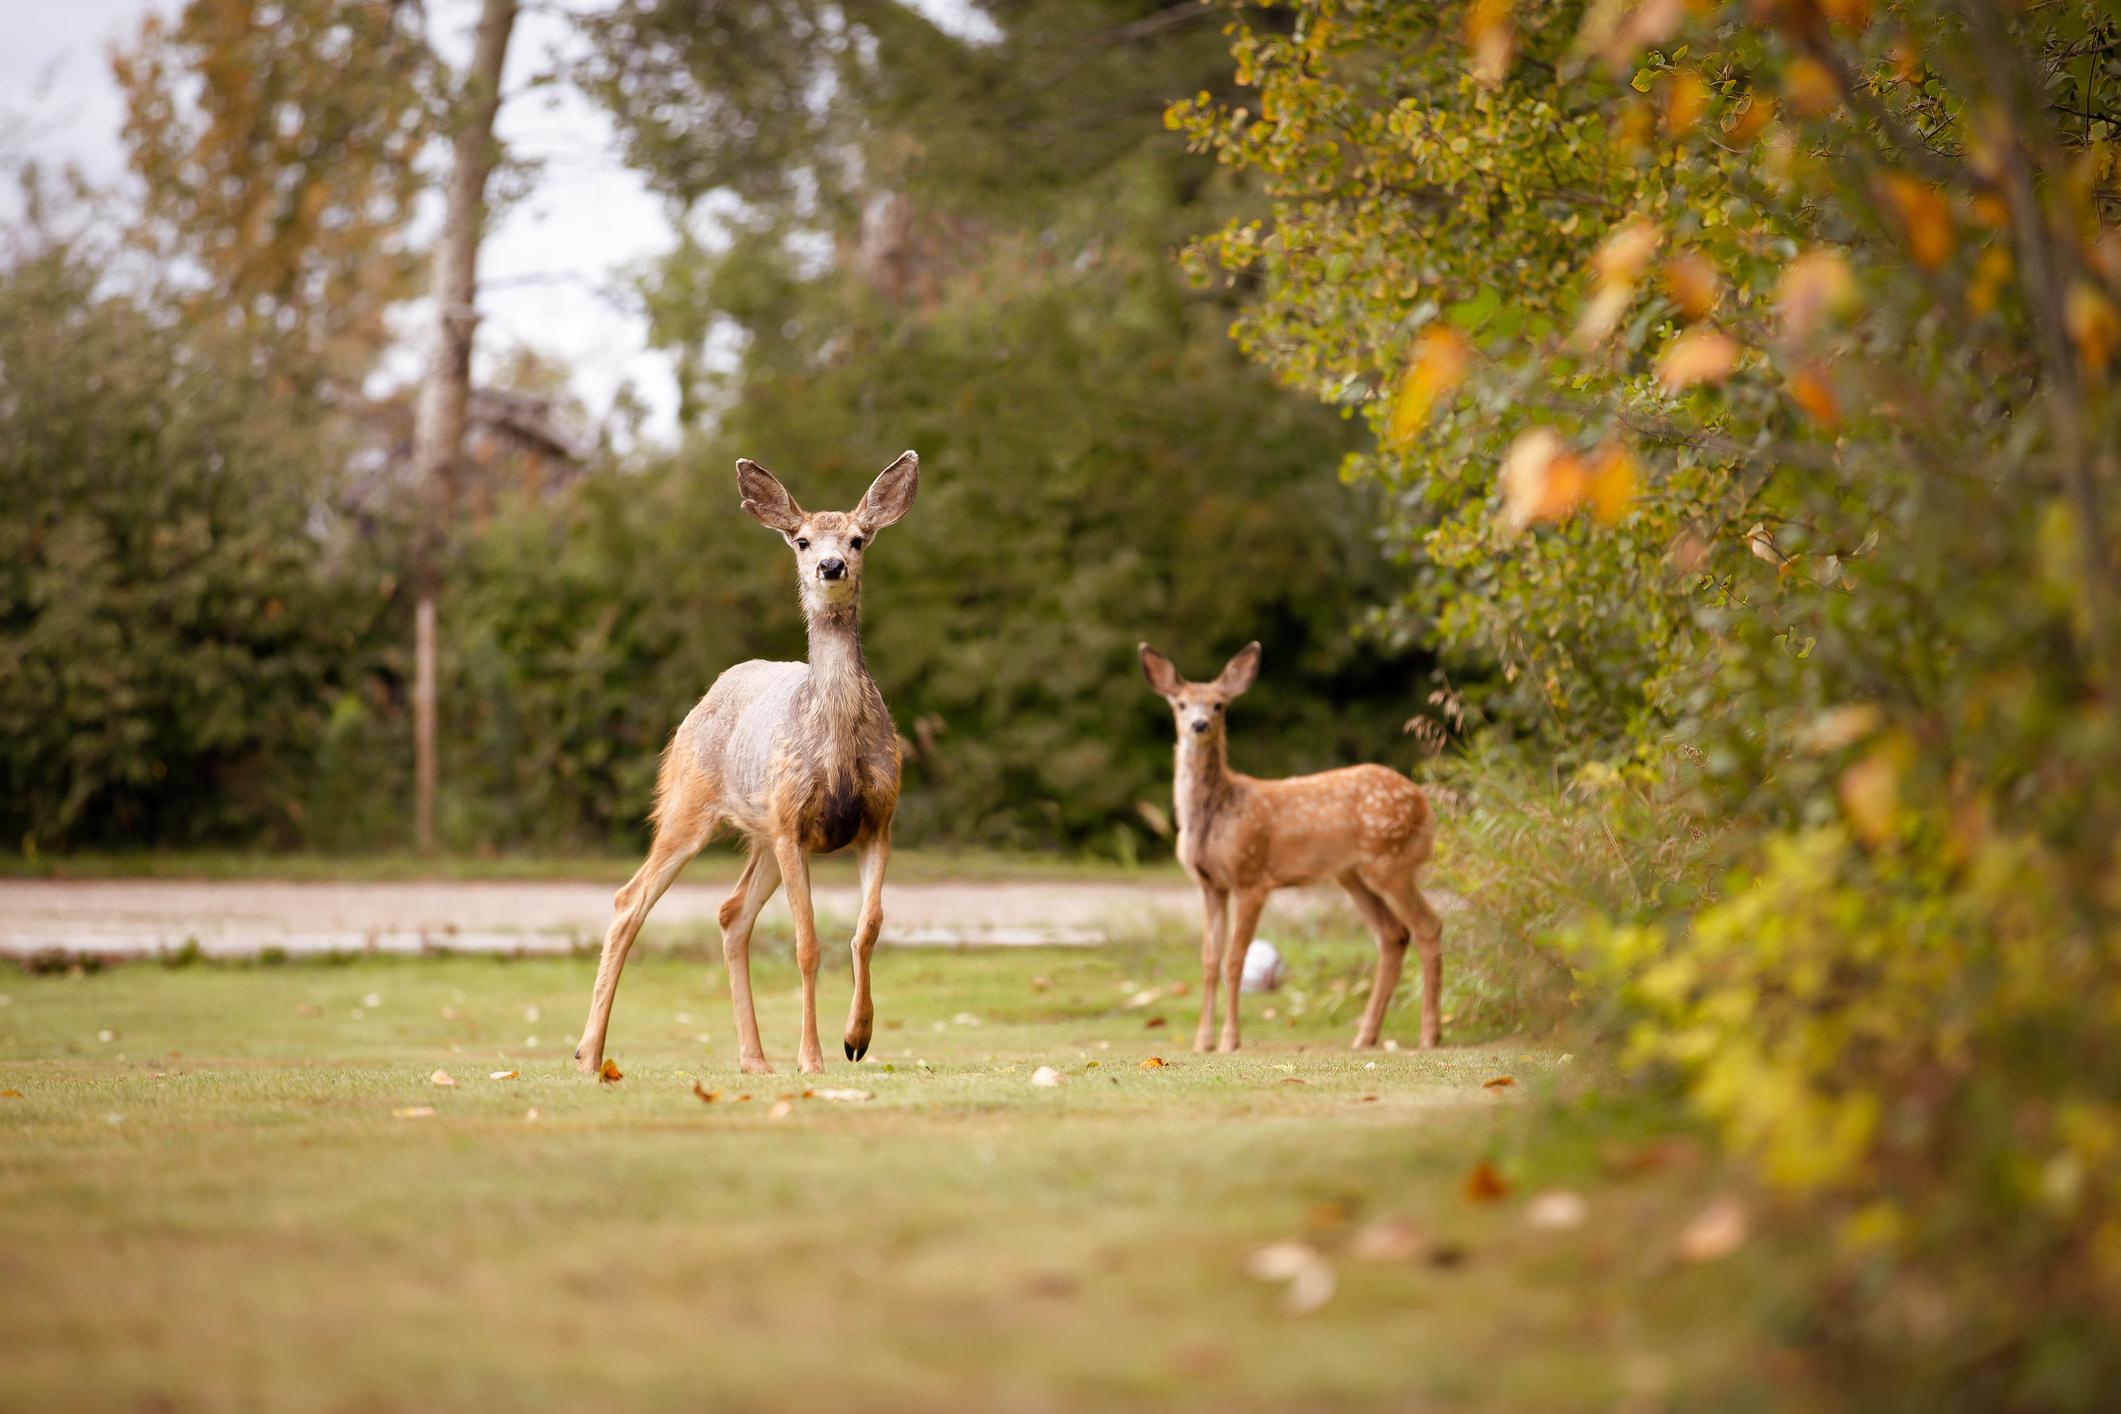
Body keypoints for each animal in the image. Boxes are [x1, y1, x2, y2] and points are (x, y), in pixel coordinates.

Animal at [574, 451, 919, 1078]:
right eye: (802, 540)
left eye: (857, 539)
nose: (831, 566)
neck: (834, 744)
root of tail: (708, 694)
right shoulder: (791, 824)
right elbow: (807, 945)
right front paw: (812, 1059)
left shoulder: (878, 820)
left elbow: (867, 930)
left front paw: (856, 1038)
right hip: (691, 801)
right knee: (630, 899)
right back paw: (590, 1054)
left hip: (761, 834)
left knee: (732, 913)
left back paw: (754, 1060)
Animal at [1138, 641, 1444, 1054]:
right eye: (1181, 704)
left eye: (1218, 704)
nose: (1199, 725)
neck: (1216, 815)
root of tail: (1426, 804)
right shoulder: (1210, 884)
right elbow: (1208, 960)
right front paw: (1202, 1042)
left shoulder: (1251, 877)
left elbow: (1234, 959)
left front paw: (1230, 1040)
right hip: (1353, 875)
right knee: (1393, 935)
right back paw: (1365, 1036)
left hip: (1391, 863)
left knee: (1428, 926)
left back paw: (1429, 1035)